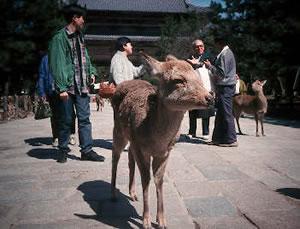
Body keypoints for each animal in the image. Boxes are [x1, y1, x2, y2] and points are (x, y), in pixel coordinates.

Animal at [110, 52, 213, 229]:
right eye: (178, 80)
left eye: (198, 78)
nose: (210, 98)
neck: (157, 140)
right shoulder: (141, 149)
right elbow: (146, 179)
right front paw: (145, 221)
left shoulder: (165, 152)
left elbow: (159, 180)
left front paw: (162, 221)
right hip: (118, 131)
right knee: (115, 156)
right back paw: (113, 195)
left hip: (131, 140)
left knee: (129, 158)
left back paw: (132, 194)